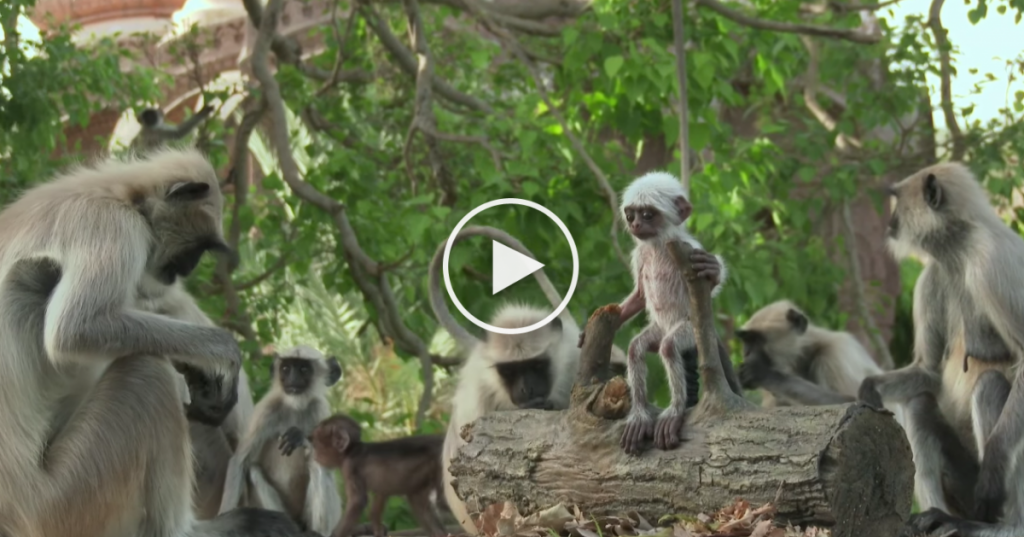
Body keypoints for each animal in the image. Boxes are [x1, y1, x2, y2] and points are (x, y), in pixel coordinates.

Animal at [0, 148, 304, 537]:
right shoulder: (114, 224)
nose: (188, 268)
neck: (120, 193)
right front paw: (222, 354)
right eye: (198, 247)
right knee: (148, 371)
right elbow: (76, 329)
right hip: (63, 504)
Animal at [219, 344, 344, 535]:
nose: (292, 379)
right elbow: (239, 462)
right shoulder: (266, 410)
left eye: (303, 369)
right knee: (253, 469)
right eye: (286, 368)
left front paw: (300, 437)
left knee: (317, 465)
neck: (295, 406)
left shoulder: (320, 409)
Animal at [299, 413, 449, 537]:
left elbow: (358, 501)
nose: (315, 455)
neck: (353, 451)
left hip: (440, 464)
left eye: (316, 445)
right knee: (418, 500)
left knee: (442, 501)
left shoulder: (350, 467)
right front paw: (377, 528)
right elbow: (381, 493)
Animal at [606, 171, 742, 455]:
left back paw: (675, 411)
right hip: (659, 329)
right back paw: (640, 414)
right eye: (631, 215)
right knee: (636, 349)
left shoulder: (687, 248)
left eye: (647, 215)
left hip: (689, 329)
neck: (657, 246)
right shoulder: (641, 254)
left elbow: (709, 286)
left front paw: (713, 270)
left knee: (669, 347)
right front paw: (618, 316)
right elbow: (640, 294)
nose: (636, 225)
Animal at [857, 162, 1024, 537]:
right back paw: (935, 516)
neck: (959, 249)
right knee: (919, 403)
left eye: (897, 201)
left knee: (989, 386)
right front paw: (869, 389)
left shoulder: (990, 264)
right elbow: (928, 371)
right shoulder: (932, 275)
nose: (890, 223)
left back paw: (1000, 525)